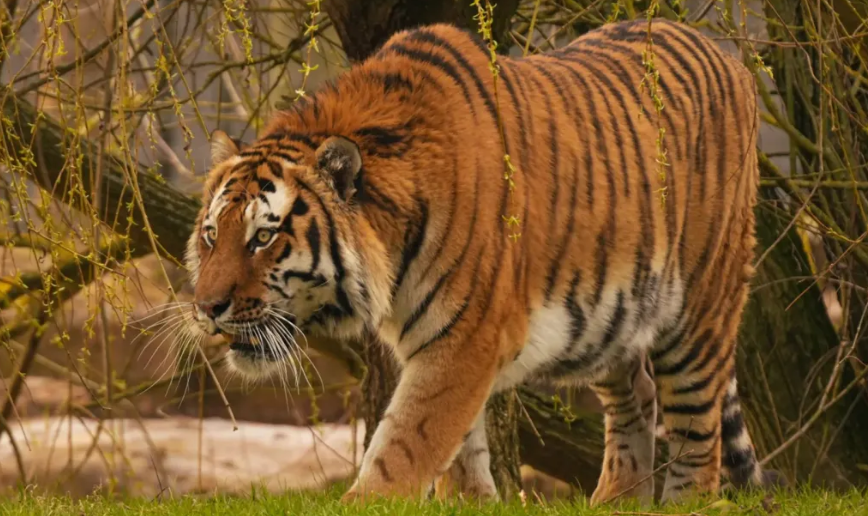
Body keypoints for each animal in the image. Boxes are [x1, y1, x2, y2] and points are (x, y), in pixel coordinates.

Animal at [185, 18, 778, 504]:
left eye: (263, 238)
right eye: (212, 235)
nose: (207, 308)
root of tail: (729, 56)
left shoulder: (467, 337)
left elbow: (407, 443)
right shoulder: (439, 340)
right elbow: (457, 452)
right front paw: (473, 501)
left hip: (700, 307)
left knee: (697, 428)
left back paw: (682, 499)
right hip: (612, 321)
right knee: (639, 396)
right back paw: (615, 501)